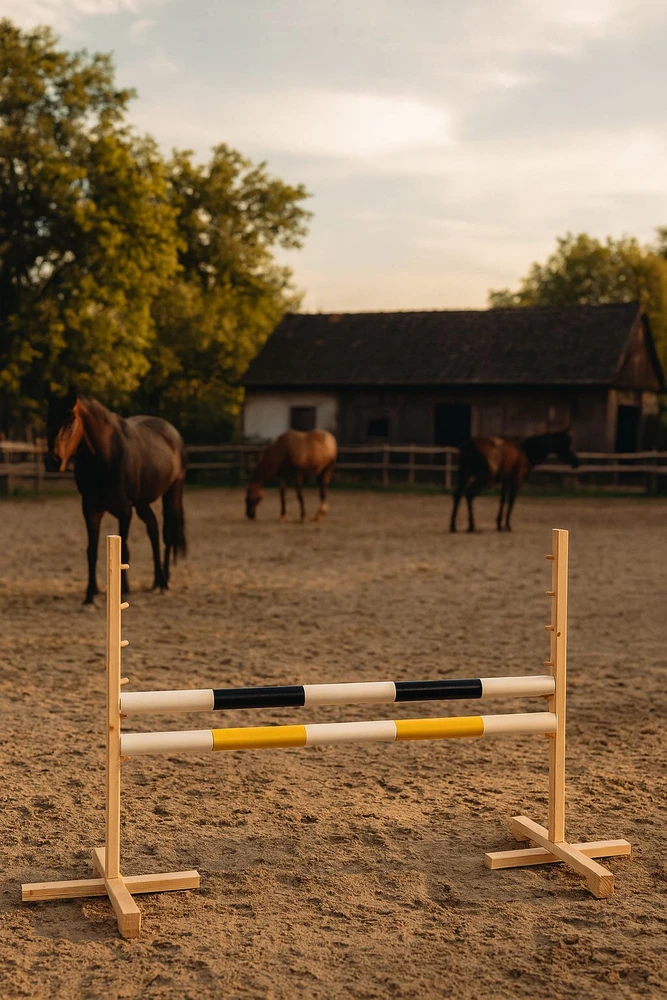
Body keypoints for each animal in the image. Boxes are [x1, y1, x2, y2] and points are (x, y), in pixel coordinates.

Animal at [46, 389, 187, 604]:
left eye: (70, 419)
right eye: (48, 418)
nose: (54, 460)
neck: (106, 456)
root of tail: (173, 433)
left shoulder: (124, 511)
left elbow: (125, 550)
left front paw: (124, 590)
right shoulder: (90, 510)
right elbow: (91, 551)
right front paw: (90, 595)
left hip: (173, 491)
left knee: (167, 535)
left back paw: (164, 582)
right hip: (142, 503)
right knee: (153, 529)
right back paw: (156, 581)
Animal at [450, 429, 579, 533]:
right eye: (566, 444)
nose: (577, 462)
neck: (526, 450)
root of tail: (468, 445)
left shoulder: (505, 481)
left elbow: (503, 500)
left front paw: (499, 524)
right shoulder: (516, 480)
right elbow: (511, 501)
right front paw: (507, 525)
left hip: (464, 474)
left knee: (458, 494)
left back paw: (453, 526)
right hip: (484, 478)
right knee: (469, 494)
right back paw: (471, 526)